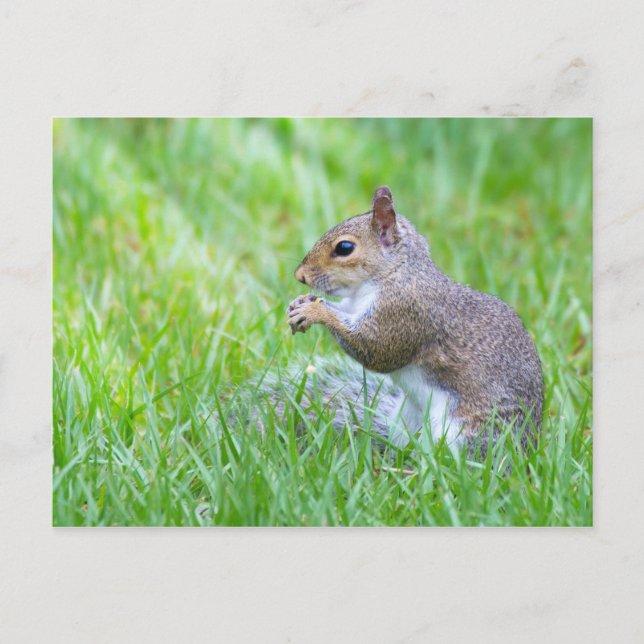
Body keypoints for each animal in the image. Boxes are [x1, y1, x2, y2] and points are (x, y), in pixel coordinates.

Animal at [286, 186, 544, 453]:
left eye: (345, 247)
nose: (300, 275)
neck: (395, 274)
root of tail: (525, 449)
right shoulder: (354, 305)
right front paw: (301, 302)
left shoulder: (404, 313)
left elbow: (376, 349)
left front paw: (315, 312)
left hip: (466, 433)